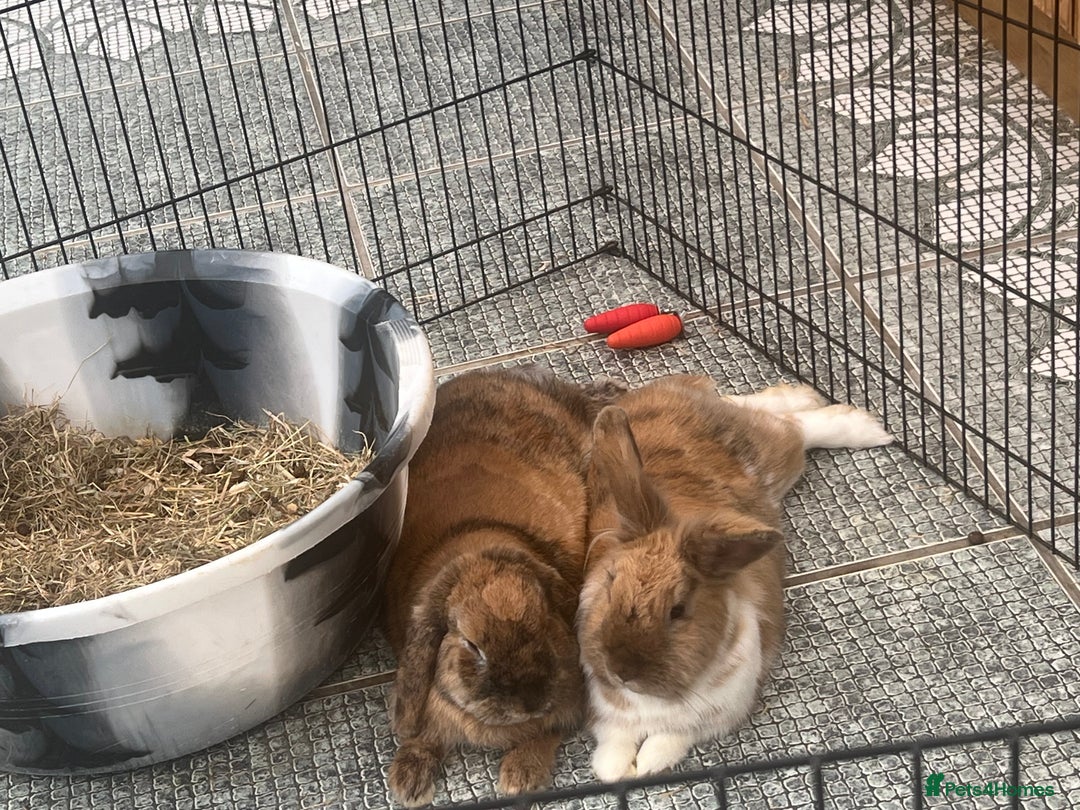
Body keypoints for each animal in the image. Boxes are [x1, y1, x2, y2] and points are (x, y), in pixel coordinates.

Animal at [383, 364, 626, 806]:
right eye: (471, 645)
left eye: (545, 619)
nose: (530, 701)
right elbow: (424, 737)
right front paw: (408, 782)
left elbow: (548, 732)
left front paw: (519, 776)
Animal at [578, 376, 892, 782]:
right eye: (610, 582)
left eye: (677, 610)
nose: (622, 672)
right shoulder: (610, 720)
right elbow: (612, 755)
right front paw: (620, 771)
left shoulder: (712, 716)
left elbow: (668, 741)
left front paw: (647, 765)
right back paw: (803, 396)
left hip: (774, 458)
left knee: (796, 429)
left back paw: (862, 426)